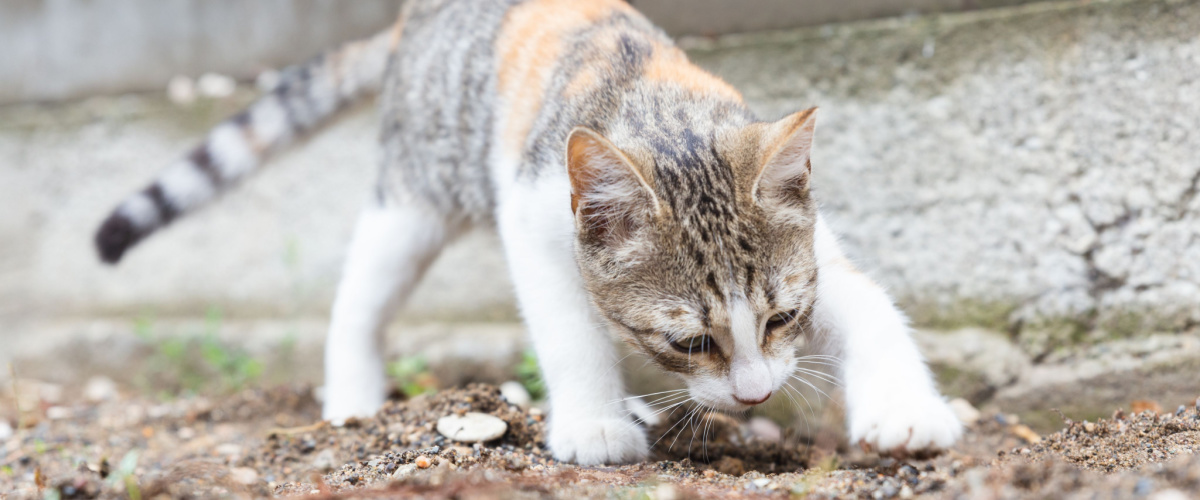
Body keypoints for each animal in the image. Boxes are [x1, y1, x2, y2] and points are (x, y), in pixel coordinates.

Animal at [93, 0, 960, 462]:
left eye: (783, 318)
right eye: (688, 341)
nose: (755, 394)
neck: (663, 116)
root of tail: (412, 20)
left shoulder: (817, 250)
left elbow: (870, 307)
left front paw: (907, 409)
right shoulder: (535, 215)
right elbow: (570, 330)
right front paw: (595, 423)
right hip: (414, 195)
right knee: (359, 301)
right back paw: (351, 398)